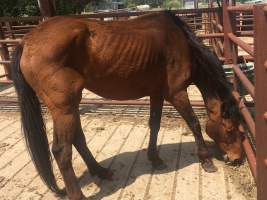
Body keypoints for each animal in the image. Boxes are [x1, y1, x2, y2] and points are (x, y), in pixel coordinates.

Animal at [11, 11, 245, 200]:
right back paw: (79, 193)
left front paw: (155, 158)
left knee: (77, 139)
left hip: (71, 105)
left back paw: (101, 170)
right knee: (62, 151)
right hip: (64, 108)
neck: (181, 42)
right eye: (231, 130)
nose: (236, 159)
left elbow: (154, 124)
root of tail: (27, 41)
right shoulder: (176, 93)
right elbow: (194, 124)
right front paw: (206, 161)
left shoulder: (157, 94)